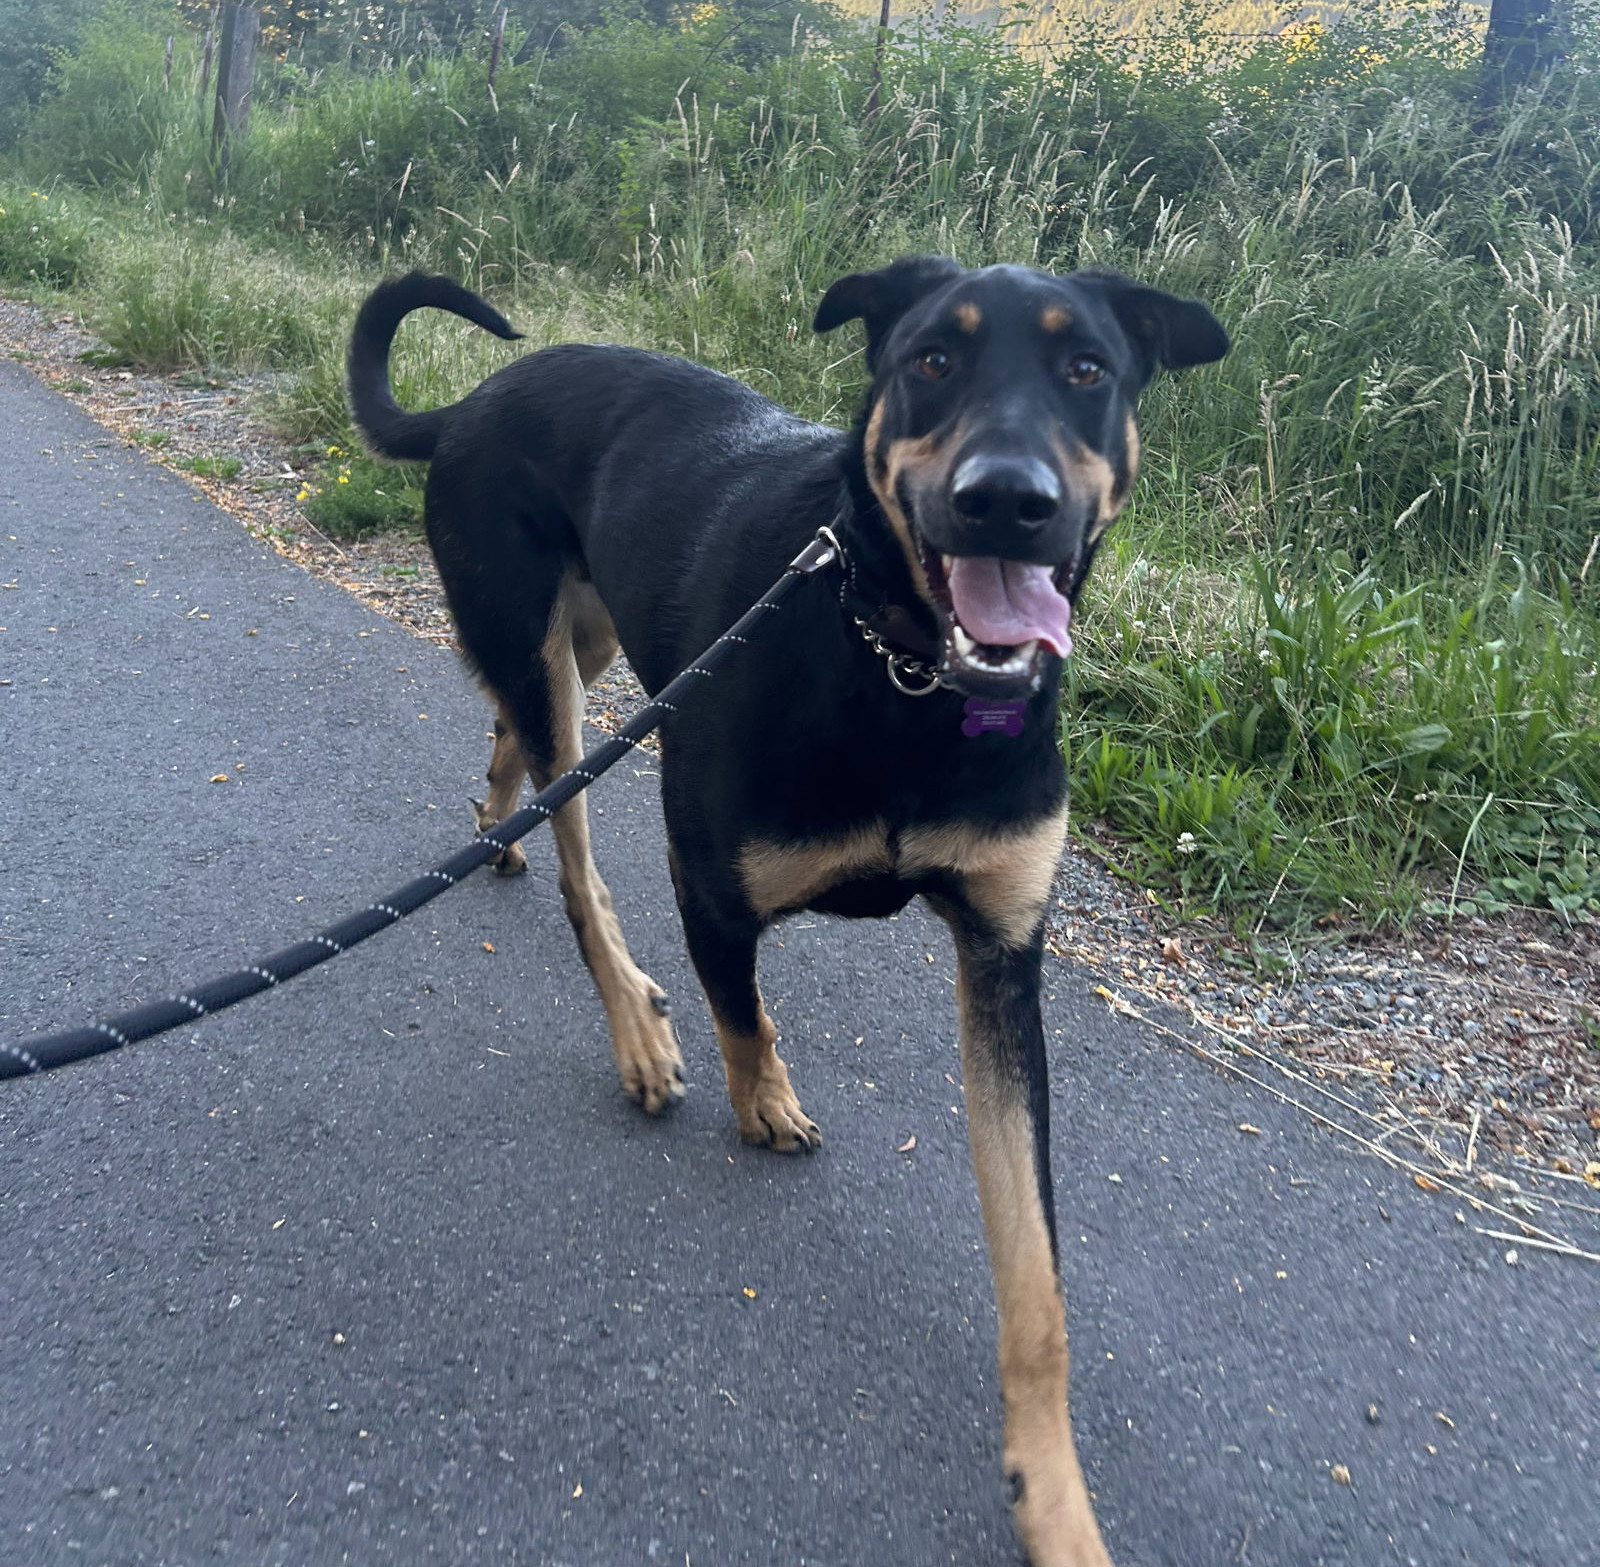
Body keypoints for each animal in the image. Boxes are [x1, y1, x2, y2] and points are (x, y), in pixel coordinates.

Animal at [347, 260, 1222, 1567]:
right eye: (931, 359)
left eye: (1086, 370)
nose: (1005, 503)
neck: (902, 674)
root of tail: (474, 401)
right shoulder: (707, 879)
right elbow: (741, 1011)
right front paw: (760, 1099)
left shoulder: (1002, 961)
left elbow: (1036, 1283)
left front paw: (1056, 1500)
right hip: (556, 660)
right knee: (577, 863)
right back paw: (633, 1027)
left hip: (587, 647)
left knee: (520, 746)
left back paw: (498, 825)